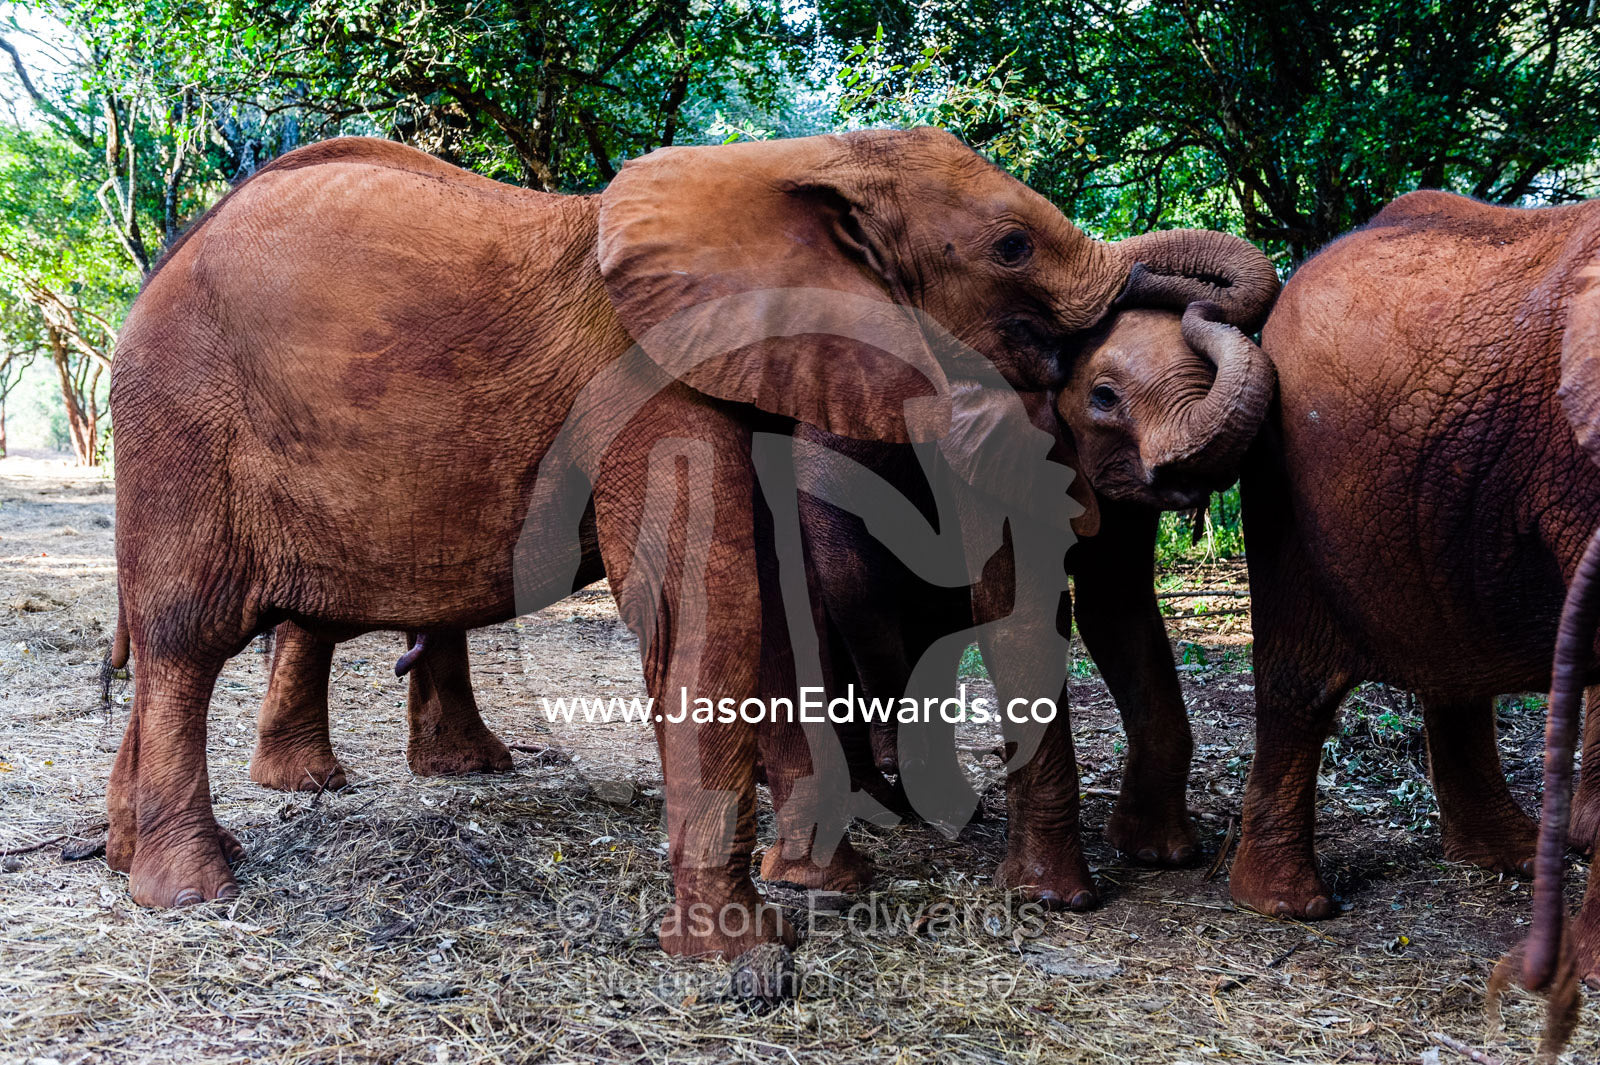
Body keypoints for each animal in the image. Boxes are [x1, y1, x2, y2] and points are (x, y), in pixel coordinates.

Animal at [107, 128, 1273, 961]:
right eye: (1011, 246)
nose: (1190, 312)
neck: (781, 164)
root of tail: (160, 267)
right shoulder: (650, 388)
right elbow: (709, 605)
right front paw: (742, 961)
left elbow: (768, 604)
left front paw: (820, 894)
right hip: (183, 423)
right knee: (185, 637)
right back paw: (191, 886)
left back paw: (125, 855)